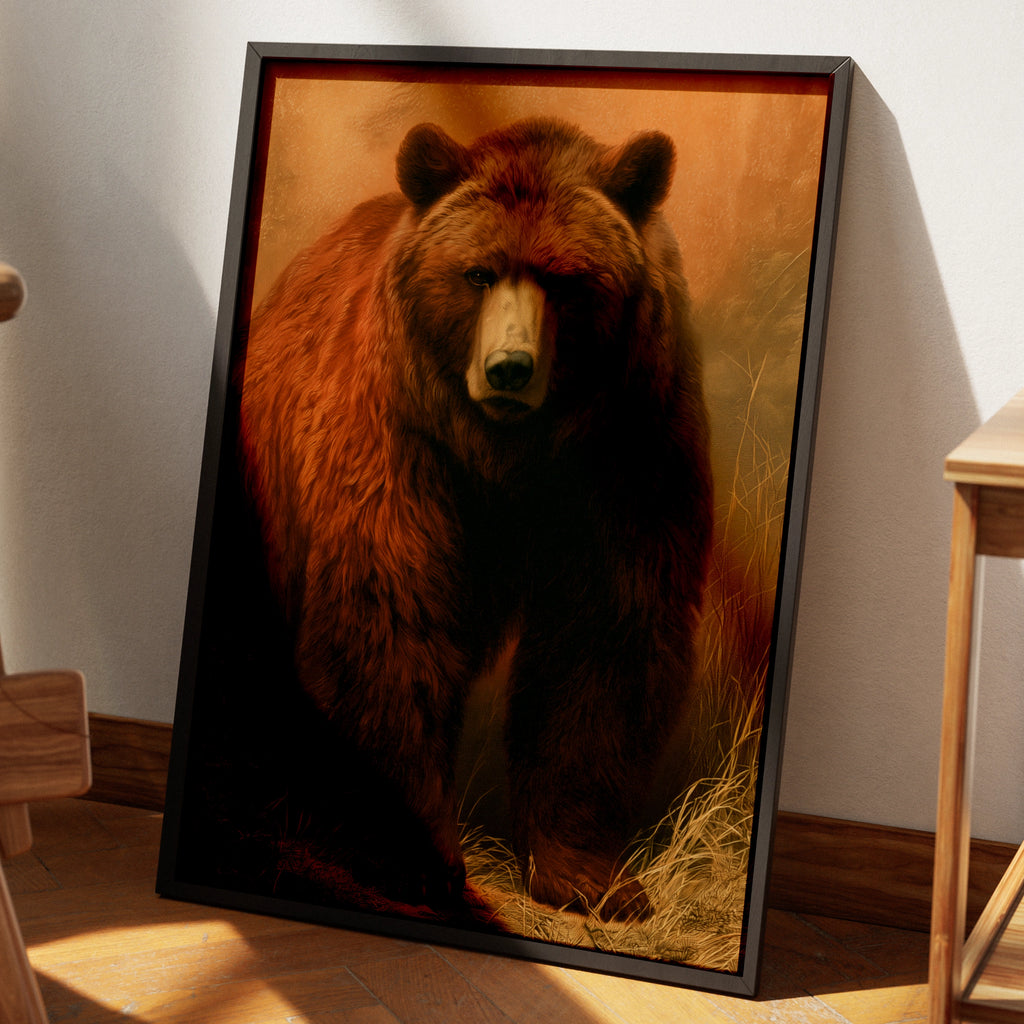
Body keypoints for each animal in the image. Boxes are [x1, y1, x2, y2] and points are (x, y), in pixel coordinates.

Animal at [236, 117, 713, 922]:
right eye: (479, 273)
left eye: (565, 278)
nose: (509, 369)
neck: (509, 453)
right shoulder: (400, 440)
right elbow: (390, 626)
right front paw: (413, 861)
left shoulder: (629, 447)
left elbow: (605, 634)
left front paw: (590, 877)